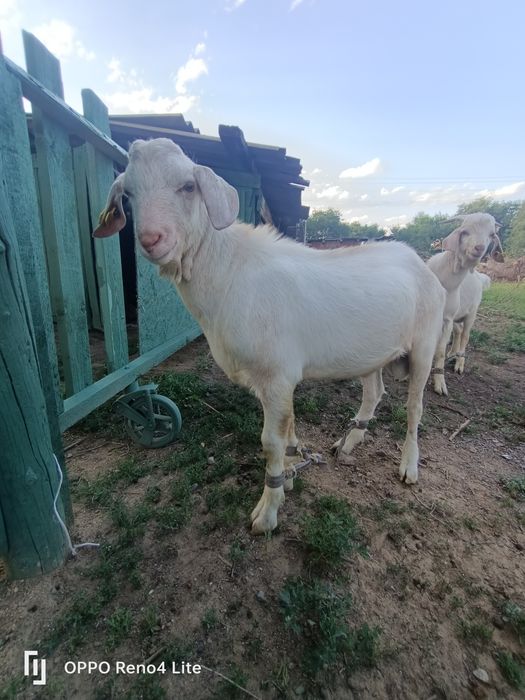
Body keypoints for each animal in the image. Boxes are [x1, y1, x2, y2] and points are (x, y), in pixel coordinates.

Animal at [94, 138, 446, 533]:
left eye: (188, 186)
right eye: (128, 193)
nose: (152, 239)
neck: (229, 272)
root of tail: (418, 261)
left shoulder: (277, 376)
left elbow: (271, 442)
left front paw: (268, 511)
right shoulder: (279, 380)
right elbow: (289, 430)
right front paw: (291, 472)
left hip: (425, 344)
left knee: (414, 407)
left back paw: (409, 466)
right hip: (371, 352)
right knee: (375, 392)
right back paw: (350, 442)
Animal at [427, 214, 502, 395]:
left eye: (492, 234)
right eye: (465, 231)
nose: (479, 248)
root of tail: (480, 277)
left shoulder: (447, 318)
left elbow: (440, 350)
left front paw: (440, 382)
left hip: (472, 313)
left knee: (466, 335)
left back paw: (459, 362)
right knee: (459, 331)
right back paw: (453, 353)